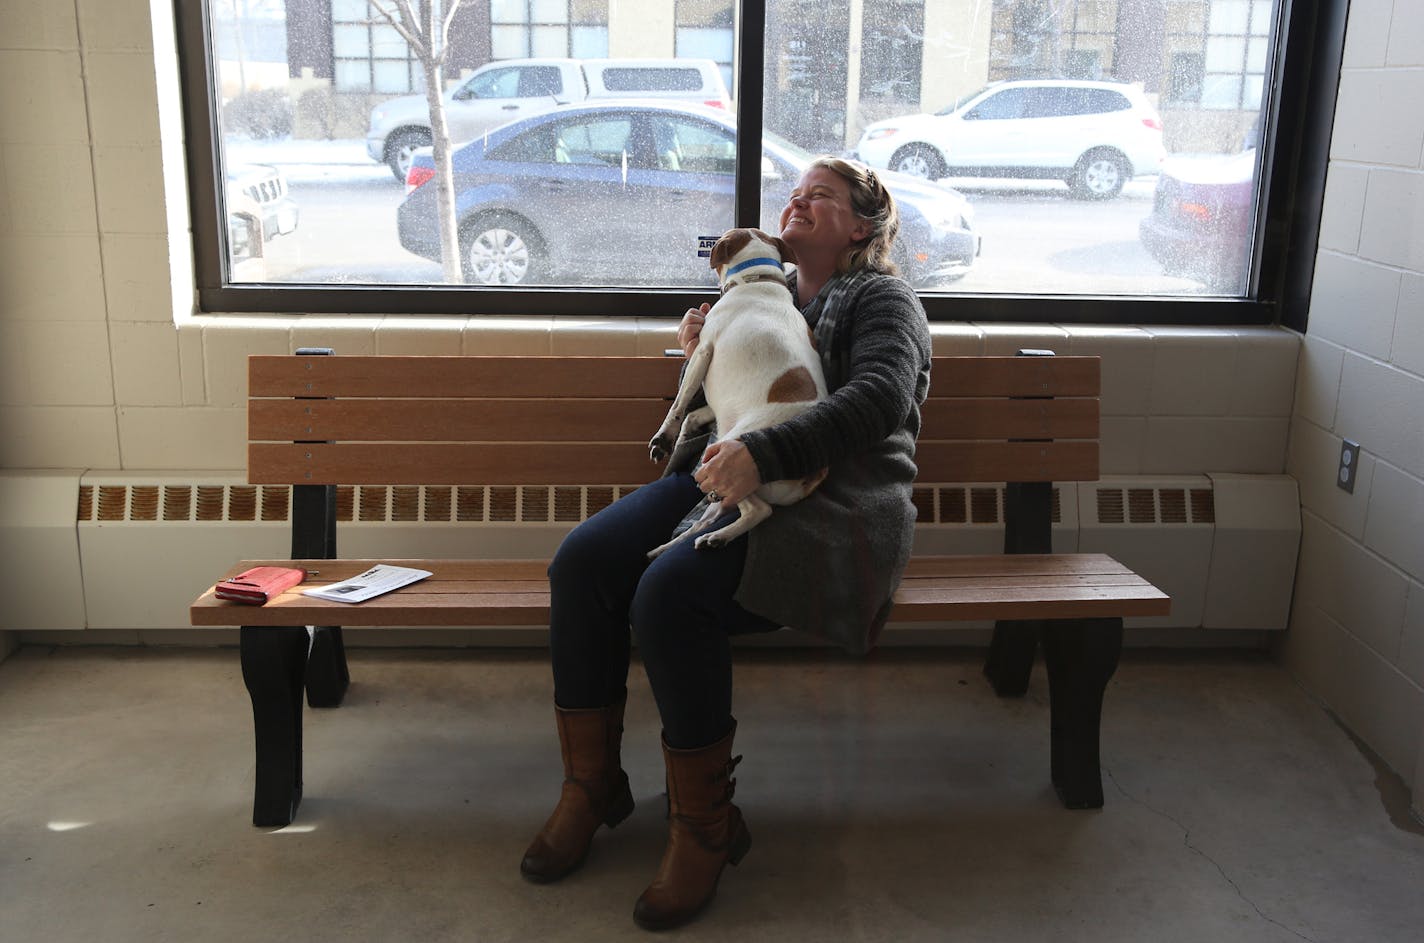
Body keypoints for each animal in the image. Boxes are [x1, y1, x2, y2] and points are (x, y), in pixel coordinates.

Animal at [649, 227, 831, 561]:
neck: (758, 280)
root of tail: (813, 474)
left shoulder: (703, 352)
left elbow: (680, 404)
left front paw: (663, 440)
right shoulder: (719, 402)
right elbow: (693, 415)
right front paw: (684, 435)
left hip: (732, 460)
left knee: (759, 511)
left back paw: (717, 538)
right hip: (722, 470)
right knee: (704, 520)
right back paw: (679, 545)